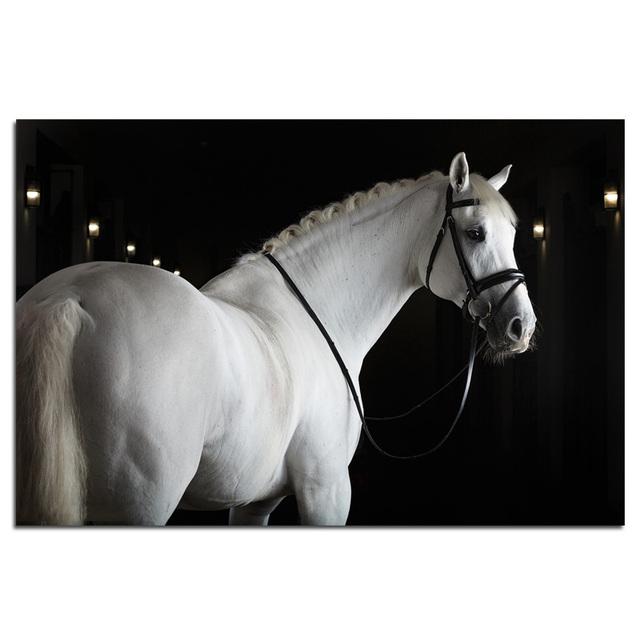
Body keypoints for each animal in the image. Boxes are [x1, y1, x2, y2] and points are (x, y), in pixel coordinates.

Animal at [16, 152, 536, 526]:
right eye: (475, 233)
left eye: (512, 234)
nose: (521, 326)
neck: (317, 311)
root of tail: (67, 301)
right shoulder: (328, 490)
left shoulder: (253, 502)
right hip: (142, 504)